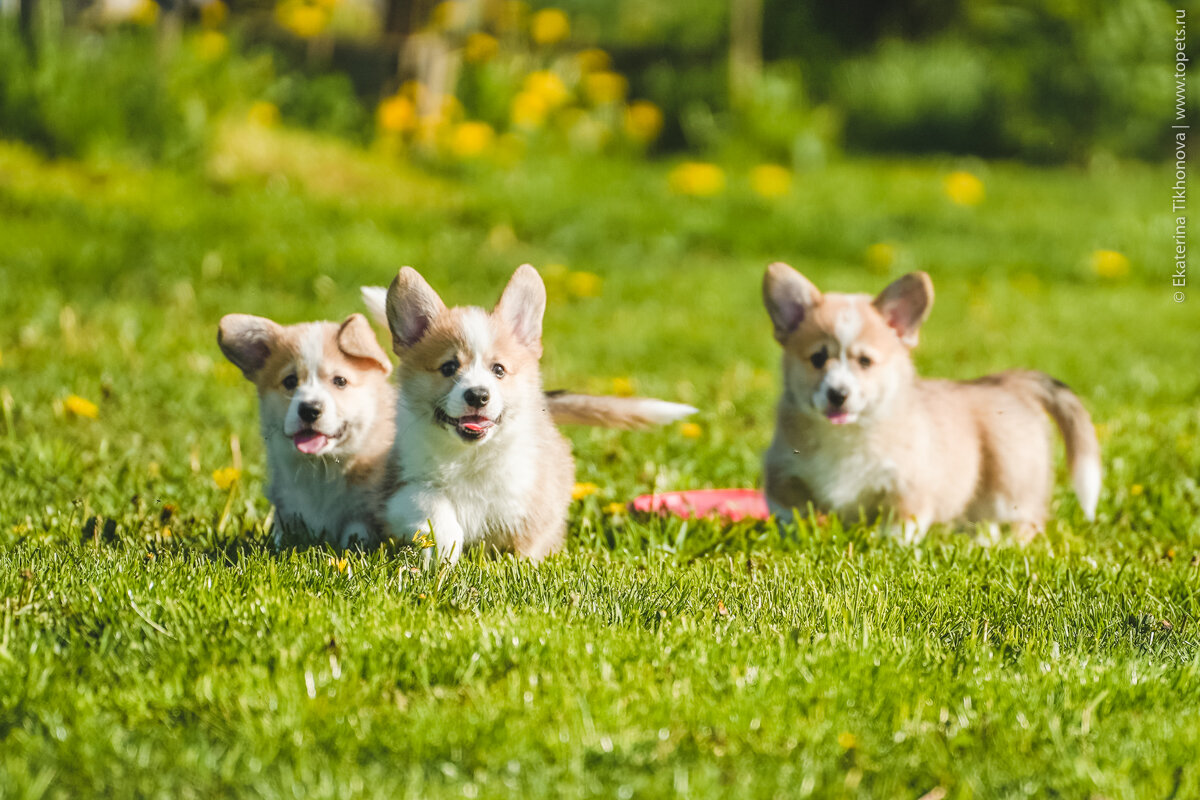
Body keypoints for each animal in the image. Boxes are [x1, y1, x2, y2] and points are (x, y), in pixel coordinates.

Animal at [218, 311, 396, 551]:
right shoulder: (287, 509)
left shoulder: (363, 511)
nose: (309, 410)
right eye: (290, 381)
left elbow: (355, 535)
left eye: (340, 381)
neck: (321, 468)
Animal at [376, 266, 686, 561]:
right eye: (449, 367)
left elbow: (528, 547)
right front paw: (442, 551)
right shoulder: (400, 489)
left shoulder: (532, 501)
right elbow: (431, 503)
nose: (478, 395)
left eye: (499, 370)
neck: (472, 457)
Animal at [763, 262, 1099, 544]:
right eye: (818, 358)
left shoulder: (906, 487)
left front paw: (887, 550)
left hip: (1011, 486)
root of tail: (1009, 382)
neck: (845, 435)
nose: (838, 394)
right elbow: (790, 514)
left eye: (865, 361)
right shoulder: (784, 473)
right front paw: (796, 539)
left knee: (1029, 520)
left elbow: (898, 528)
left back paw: (1006, 545)